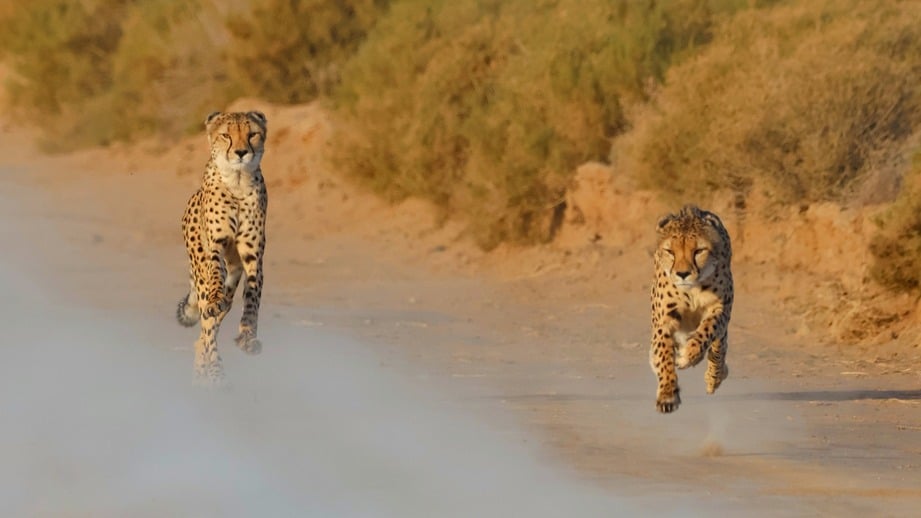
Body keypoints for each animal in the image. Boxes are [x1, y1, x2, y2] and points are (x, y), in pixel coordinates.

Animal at [176, 110, 268, 386]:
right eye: (226, 135)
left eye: (252, 134)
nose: (241, 152)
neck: (237, 182)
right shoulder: (215, 248)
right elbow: (215, 278)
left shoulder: (253, 256)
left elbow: (253, 298)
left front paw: (248, 337)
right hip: (200, 273)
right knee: (207, 324)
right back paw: (214, 372)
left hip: (232, 281)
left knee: (211, 324)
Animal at [652, 206, 728, 414]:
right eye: (670, 251)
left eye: (699, 251)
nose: (683, 273)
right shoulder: (664, 320)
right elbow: (663, 355)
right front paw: (668, 394)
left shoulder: (720, 308)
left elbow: (708, 331)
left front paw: (689, 354)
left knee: (720, 346)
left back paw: (714, 376)